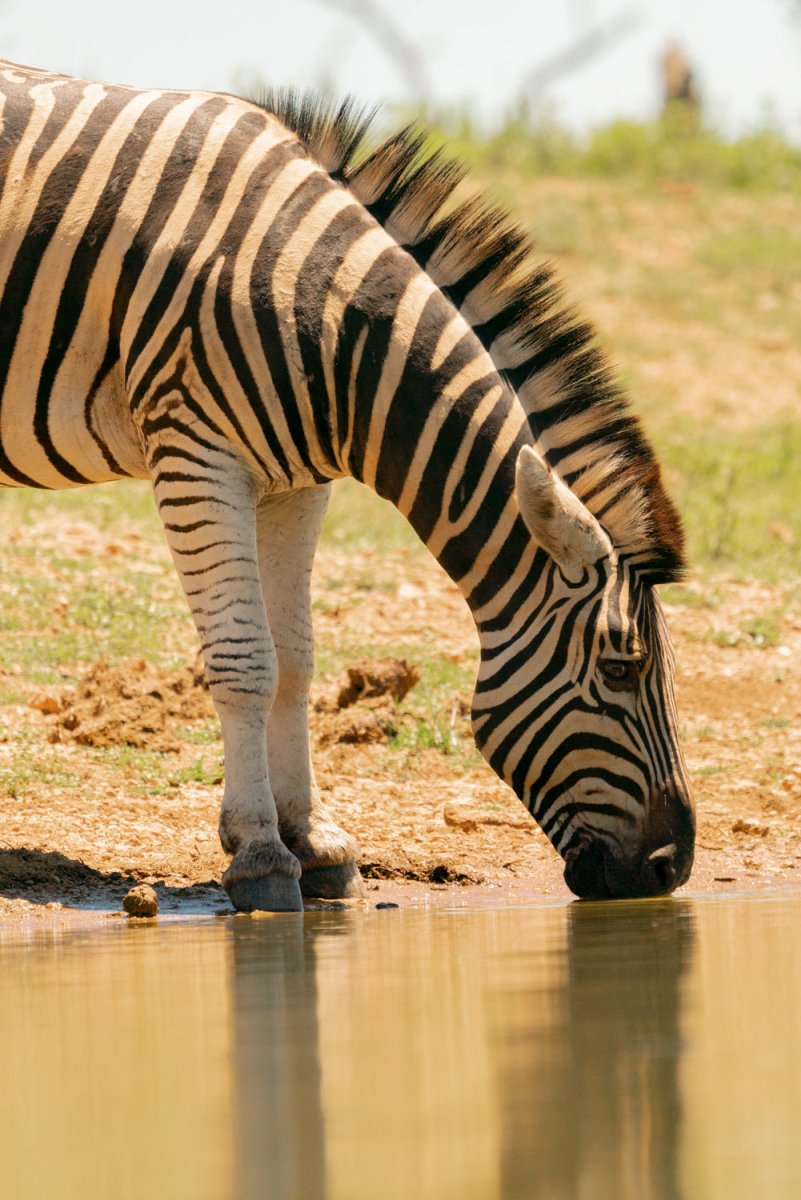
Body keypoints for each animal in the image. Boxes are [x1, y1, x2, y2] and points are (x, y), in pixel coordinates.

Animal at [0, 60, 695, 907]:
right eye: (620, 668)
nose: (668, 870)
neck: (329, 321)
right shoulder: (195, 450)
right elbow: (245, 660)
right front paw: (260, 853)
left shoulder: (295, 482)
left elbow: (296, 660)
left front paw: (314, 840)